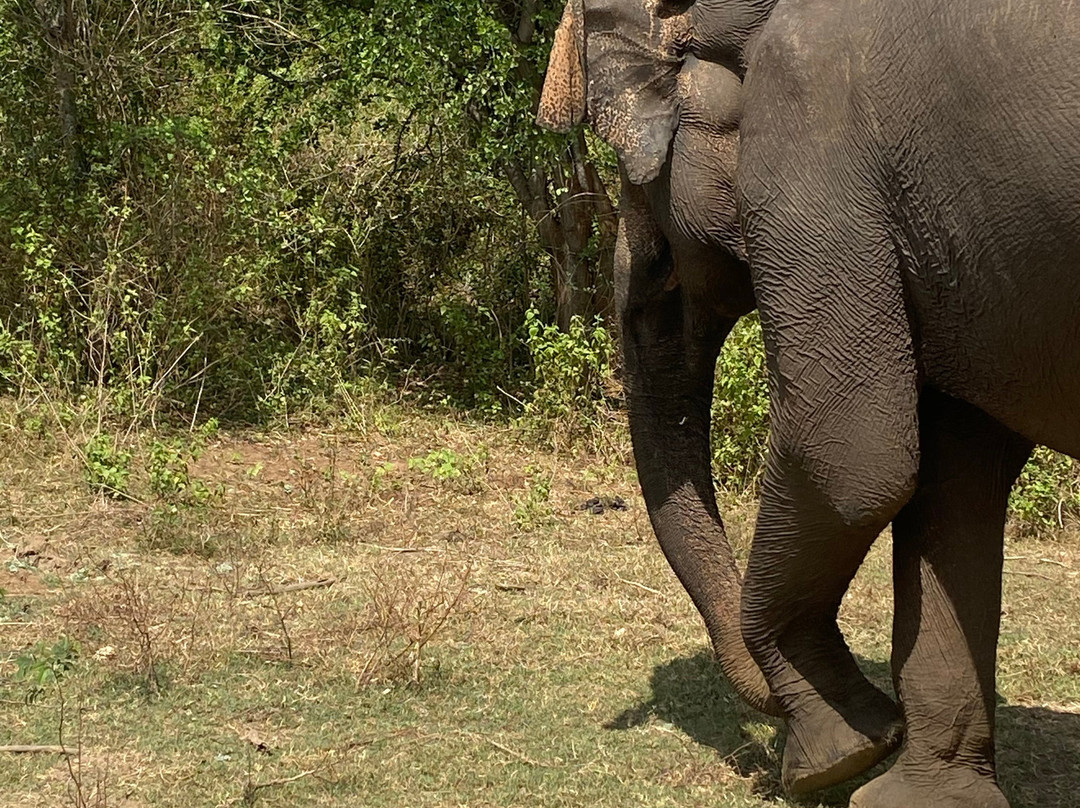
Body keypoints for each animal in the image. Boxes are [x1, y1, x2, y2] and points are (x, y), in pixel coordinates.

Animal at [536, 1, 1080, 807]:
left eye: (641, 191)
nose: (763, 719)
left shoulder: (816, 146)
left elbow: (850, 456)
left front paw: (833, 761)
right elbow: (949, 480)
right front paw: (904, 789)